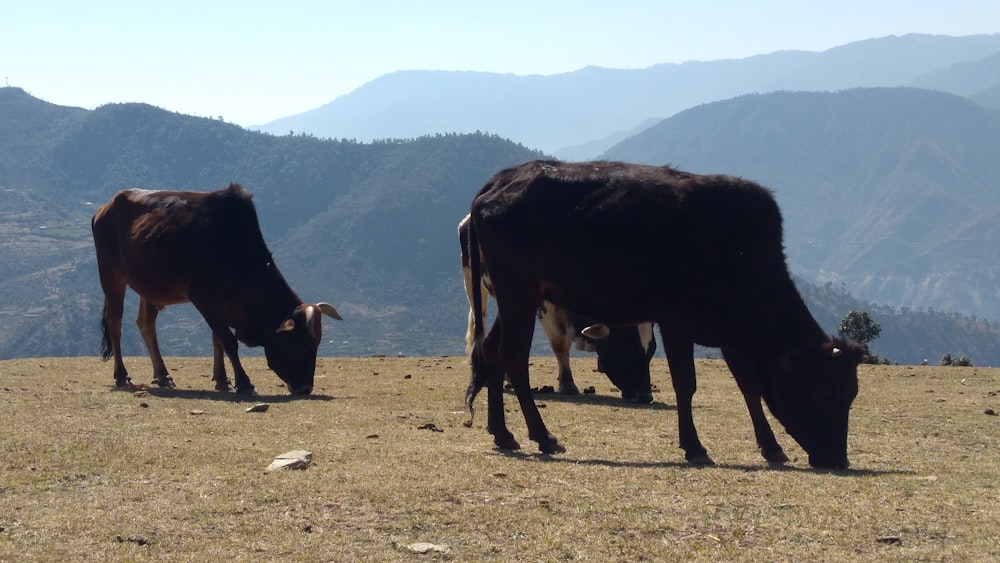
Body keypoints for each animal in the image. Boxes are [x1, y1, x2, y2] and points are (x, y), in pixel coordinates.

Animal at [94, 185, 344, 396]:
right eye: (301, 342)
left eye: (317, 344)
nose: (305, 388)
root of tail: (104, 208)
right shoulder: (204, 299)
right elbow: (228, 340)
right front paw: (244, 382)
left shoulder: (222, 304)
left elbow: (218, 340)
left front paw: (223, 380)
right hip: (111, 276)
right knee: (115, 323)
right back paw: (122, 375)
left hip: (150, 287)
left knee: (146, 323)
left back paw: (163, 376)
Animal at [458, 214, 656, 404]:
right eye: (627, 347)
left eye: (652, 350)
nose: (645, 396)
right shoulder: (546, 307)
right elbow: (559, 343)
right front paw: (567, 383)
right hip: (474, 285)